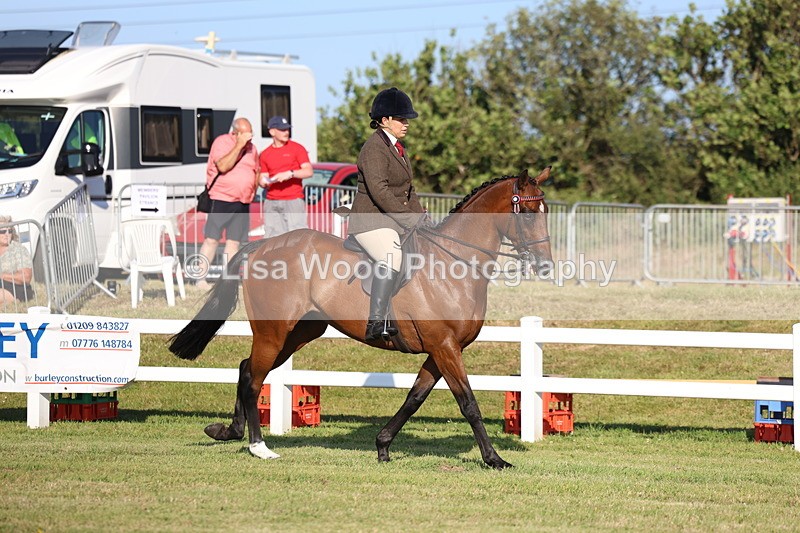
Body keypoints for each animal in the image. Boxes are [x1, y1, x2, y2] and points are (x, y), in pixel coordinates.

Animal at [169, 167, 553, 469]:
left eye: (545, 210)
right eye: (527, 213)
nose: (546, 266)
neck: (454, 262)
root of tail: (261, 247)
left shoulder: (441, 349)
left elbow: (414, 398)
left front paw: (383, 446)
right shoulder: (445, 346)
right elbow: (469, 403)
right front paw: (494, 459)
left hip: (298, 333)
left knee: (246, 367)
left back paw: (227, 431)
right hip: (273, 332)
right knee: (253, 378)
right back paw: (258, 447)